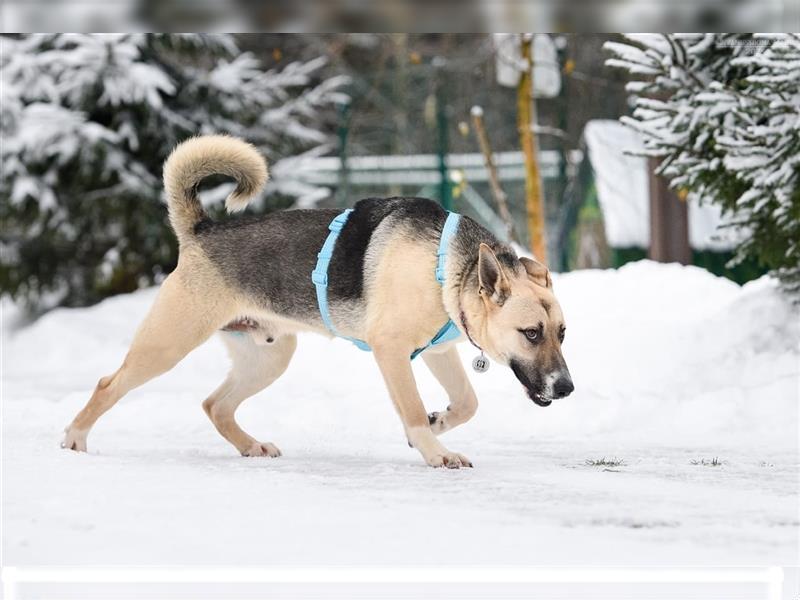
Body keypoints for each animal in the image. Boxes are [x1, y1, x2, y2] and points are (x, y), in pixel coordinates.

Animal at [64, 136, 576, 468]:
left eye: (562, 333)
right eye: (531, 333)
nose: (568, 388)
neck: (449, 267)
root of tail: (202, 232)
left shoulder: (437, 350)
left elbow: (466, 403)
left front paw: (438, 423)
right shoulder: (392, 351)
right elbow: (412, 411)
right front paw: (435, 451)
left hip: (269, 358)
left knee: (215, 406)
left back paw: (250, 446)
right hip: (167, 345)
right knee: (108, 384)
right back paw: (74, 440)